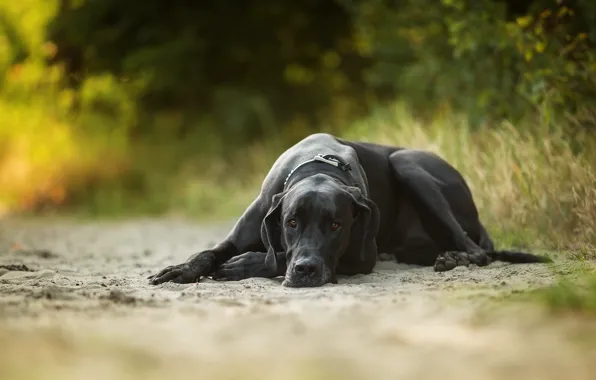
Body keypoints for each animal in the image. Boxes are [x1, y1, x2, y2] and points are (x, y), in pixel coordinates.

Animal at [148, 132, 548, 286]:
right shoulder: (246, 228)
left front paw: (246, 264)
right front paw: (182, 269)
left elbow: (274, 257)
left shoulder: (360, 257)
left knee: (478, 250)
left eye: (337, 225)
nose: (306, 271)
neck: (318, 166)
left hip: (408, 163)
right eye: (290, 222)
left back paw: (456, 257)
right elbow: (209, 252)